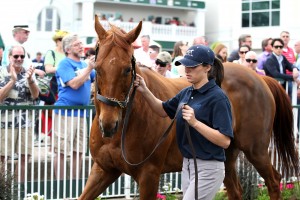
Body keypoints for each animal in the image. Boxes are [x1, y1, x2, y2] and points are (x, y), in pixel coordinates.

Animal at [78, 15, 298, 200]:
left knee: (273, 180)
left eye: (126, 69)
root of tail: (261, 78)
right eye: (97, 68)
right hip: (227, 156)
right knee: (236, 191)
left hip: (256, 149)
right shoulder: (103, 170)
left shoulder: (149, 175)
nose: (108, 125)